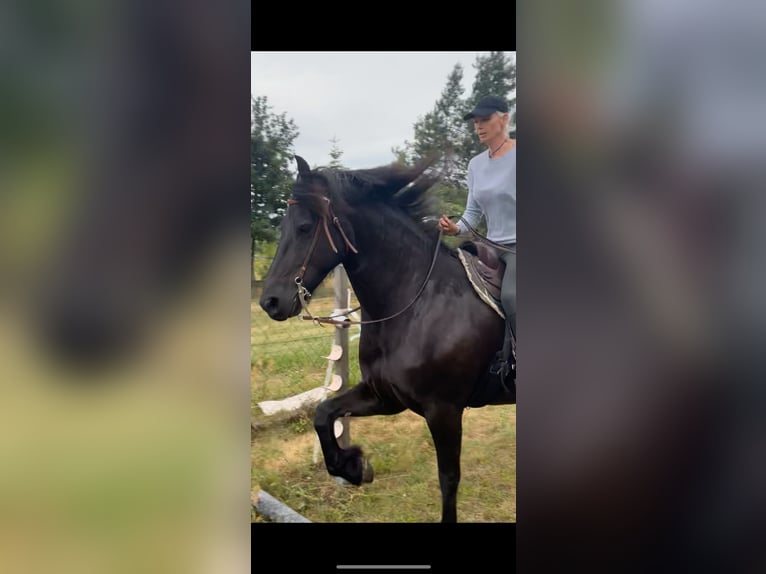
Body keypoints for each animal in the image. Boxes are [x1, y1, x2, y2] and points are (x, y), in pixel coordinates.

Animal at [259, 155, 515, 523]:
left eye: (305, 227)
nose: (270, 302)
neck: (418, 301)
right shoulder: (384, 396)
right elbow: (323, 413)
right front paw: (354, 467)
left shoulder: (444, 410)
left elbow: (448, 480)